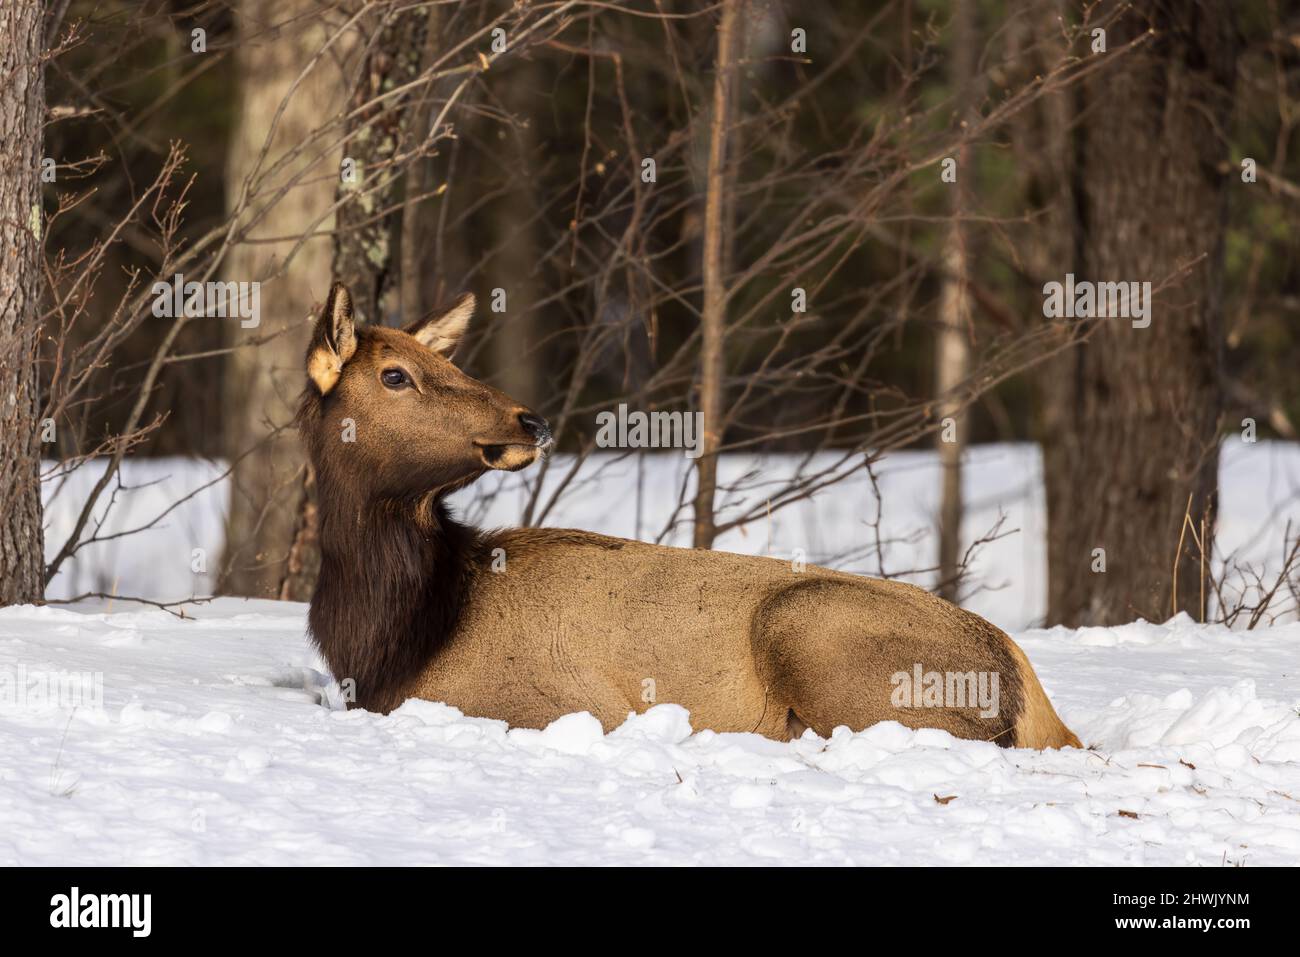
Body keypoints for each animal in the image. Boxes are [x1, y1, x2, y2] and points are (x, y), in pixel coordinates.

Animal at [299, 280, 1081, 748]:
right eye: (395, 374)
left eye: (447, 365)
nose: (532, 419)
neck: (397, 638)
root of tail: (1026, 689)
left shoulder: (565, 704)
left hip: (815, 631)